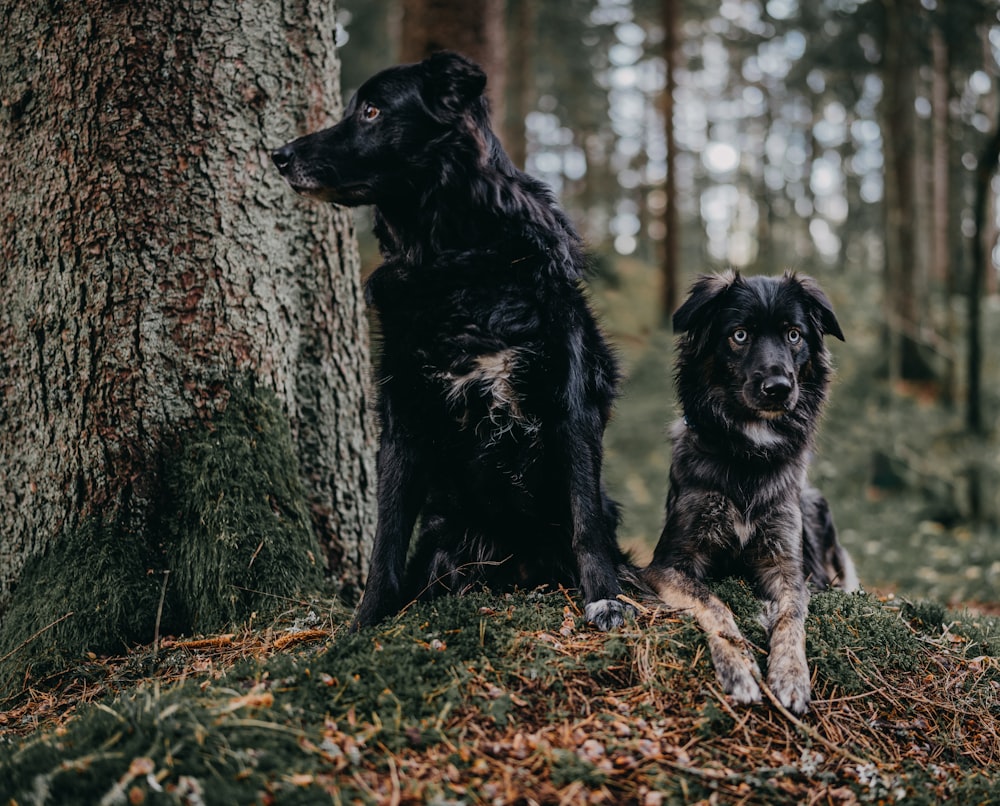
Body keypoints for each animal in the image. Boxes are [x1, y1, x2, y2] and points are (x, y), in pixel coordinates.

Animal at [272, 52, 632, 632]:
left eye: (372, 111)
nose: (278, 156)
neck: (455, 261)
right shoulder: (401, 415)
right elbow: (386, 537)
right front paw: (366, 621)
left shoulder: (568, 402)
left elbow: (585, 522)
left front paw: (604, 597)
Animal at [644, 274, 856, 716]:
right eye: (739, 335)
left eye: (794, 335)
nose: (778, 387)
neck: (749, 456)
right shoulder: (667, 564)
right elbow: (712, 603)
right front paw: (739, 667)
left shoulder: (788, 567)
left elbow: (792, 616)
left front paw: (791, 675)